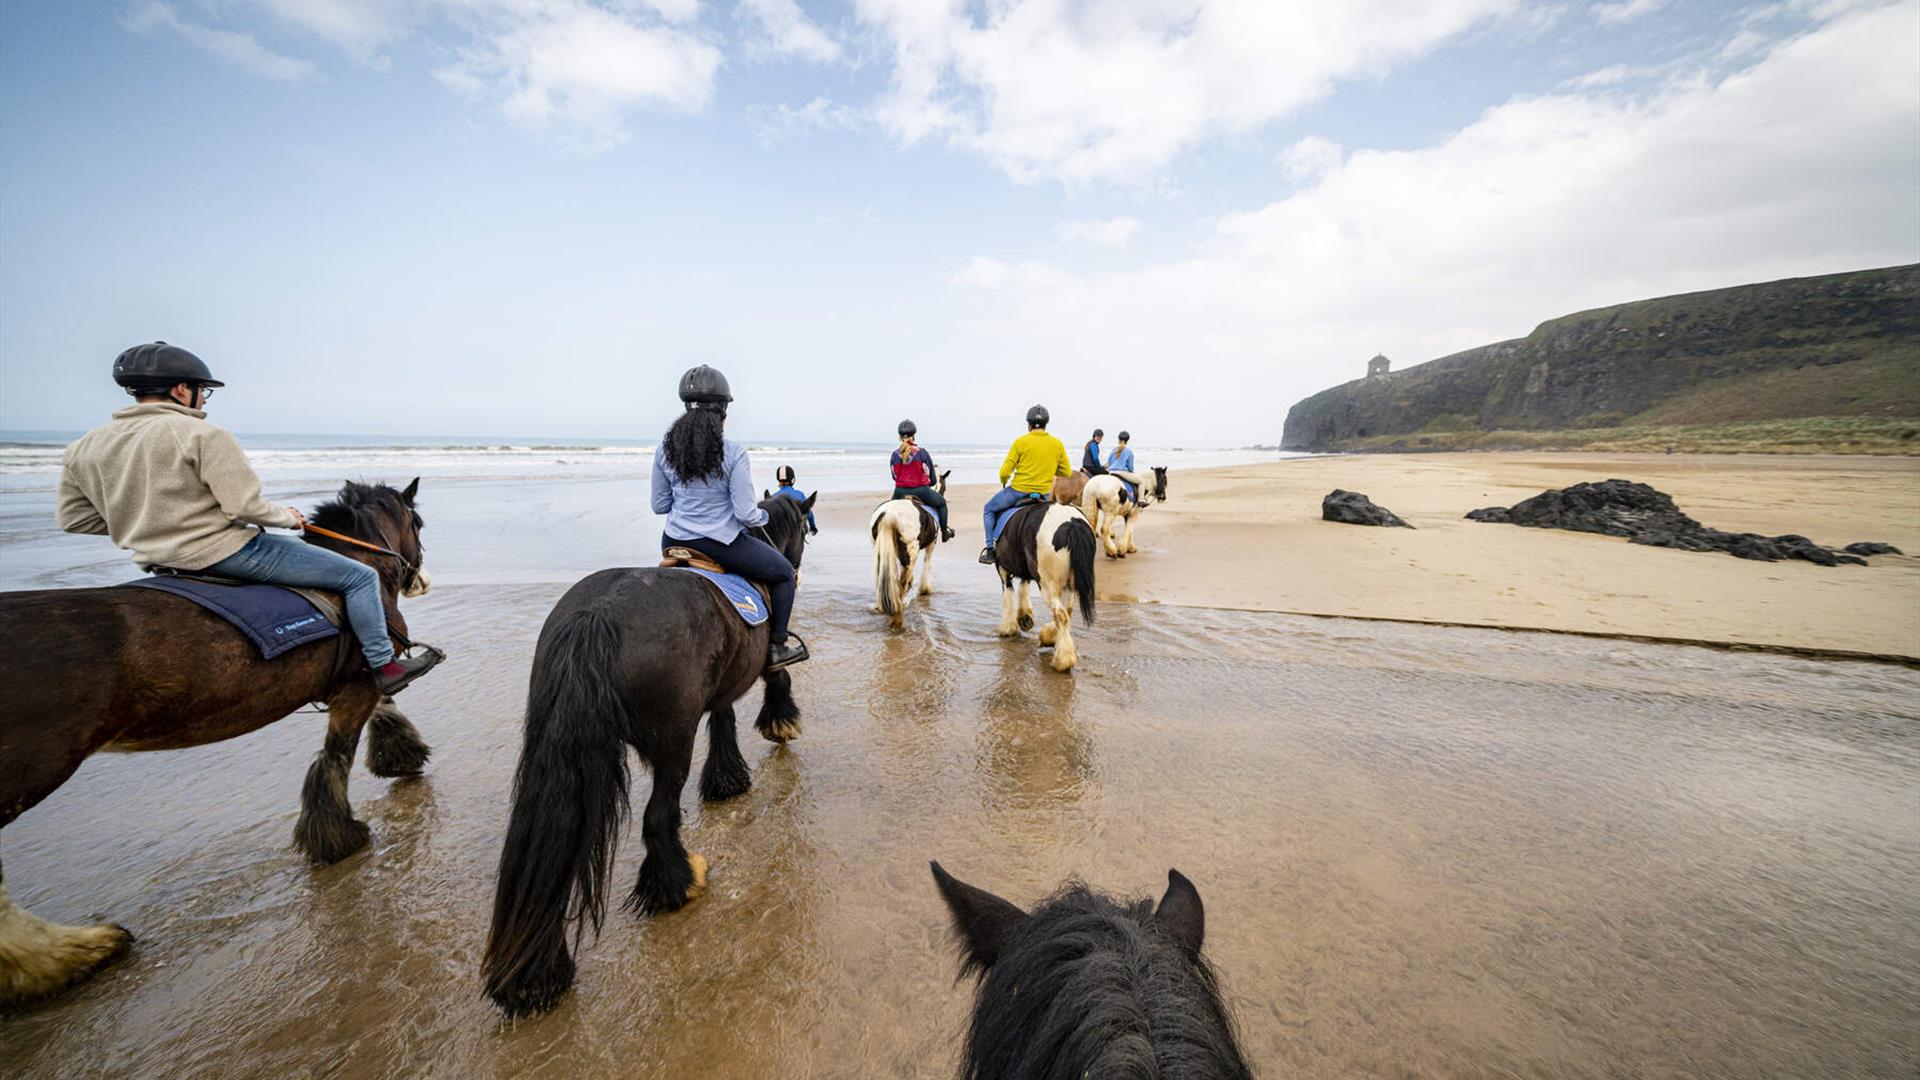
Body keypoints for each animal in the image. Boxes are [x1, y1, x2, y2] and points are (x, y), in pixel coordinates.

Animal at [0, 474, 435, 1006]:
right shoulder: (359, 682)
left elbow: (381, 711)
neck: (359, 565)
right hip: (32, 771)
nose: (419, 577)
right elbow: (339, 754)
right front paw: (338, 835)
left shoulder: (356, 683)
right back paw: (73, 954)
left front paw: (401, 755)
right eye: (418, 523)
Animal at [483, 491, 814, 1014]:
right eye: (801, 529)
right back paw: (677, 883)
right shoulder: (758, 664)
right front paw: (781, 723)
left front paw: (727, 780)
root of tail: (596, 616)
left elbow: (723, 719)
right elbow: (776, 677)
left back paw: (535, 975)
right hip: (672, 744)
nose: (797, 567)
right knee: (658, 818)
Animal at [871, 466, 952, 626]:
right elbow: (927, 563)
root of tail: (889, 515)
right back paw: (898, 610)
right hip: (911, 552)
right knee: (901, 583)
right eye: (944, 485)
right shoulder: (931, 544)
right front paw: (925, 589)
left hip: (881, 552)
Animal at [990, 499, 1098, 668]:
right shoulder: (1025, 570)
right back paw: (1052, 639)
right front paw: (1025, 618)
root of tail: (1073, 524)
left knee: (1060, 614)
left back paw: (1063, 660)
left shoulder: (1002, 568)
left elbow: (1008, 594)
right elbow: (1023, 586)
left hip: (1048, 584)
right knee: (1067, 610)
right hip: (1071, 584)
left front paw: (1008, 628)